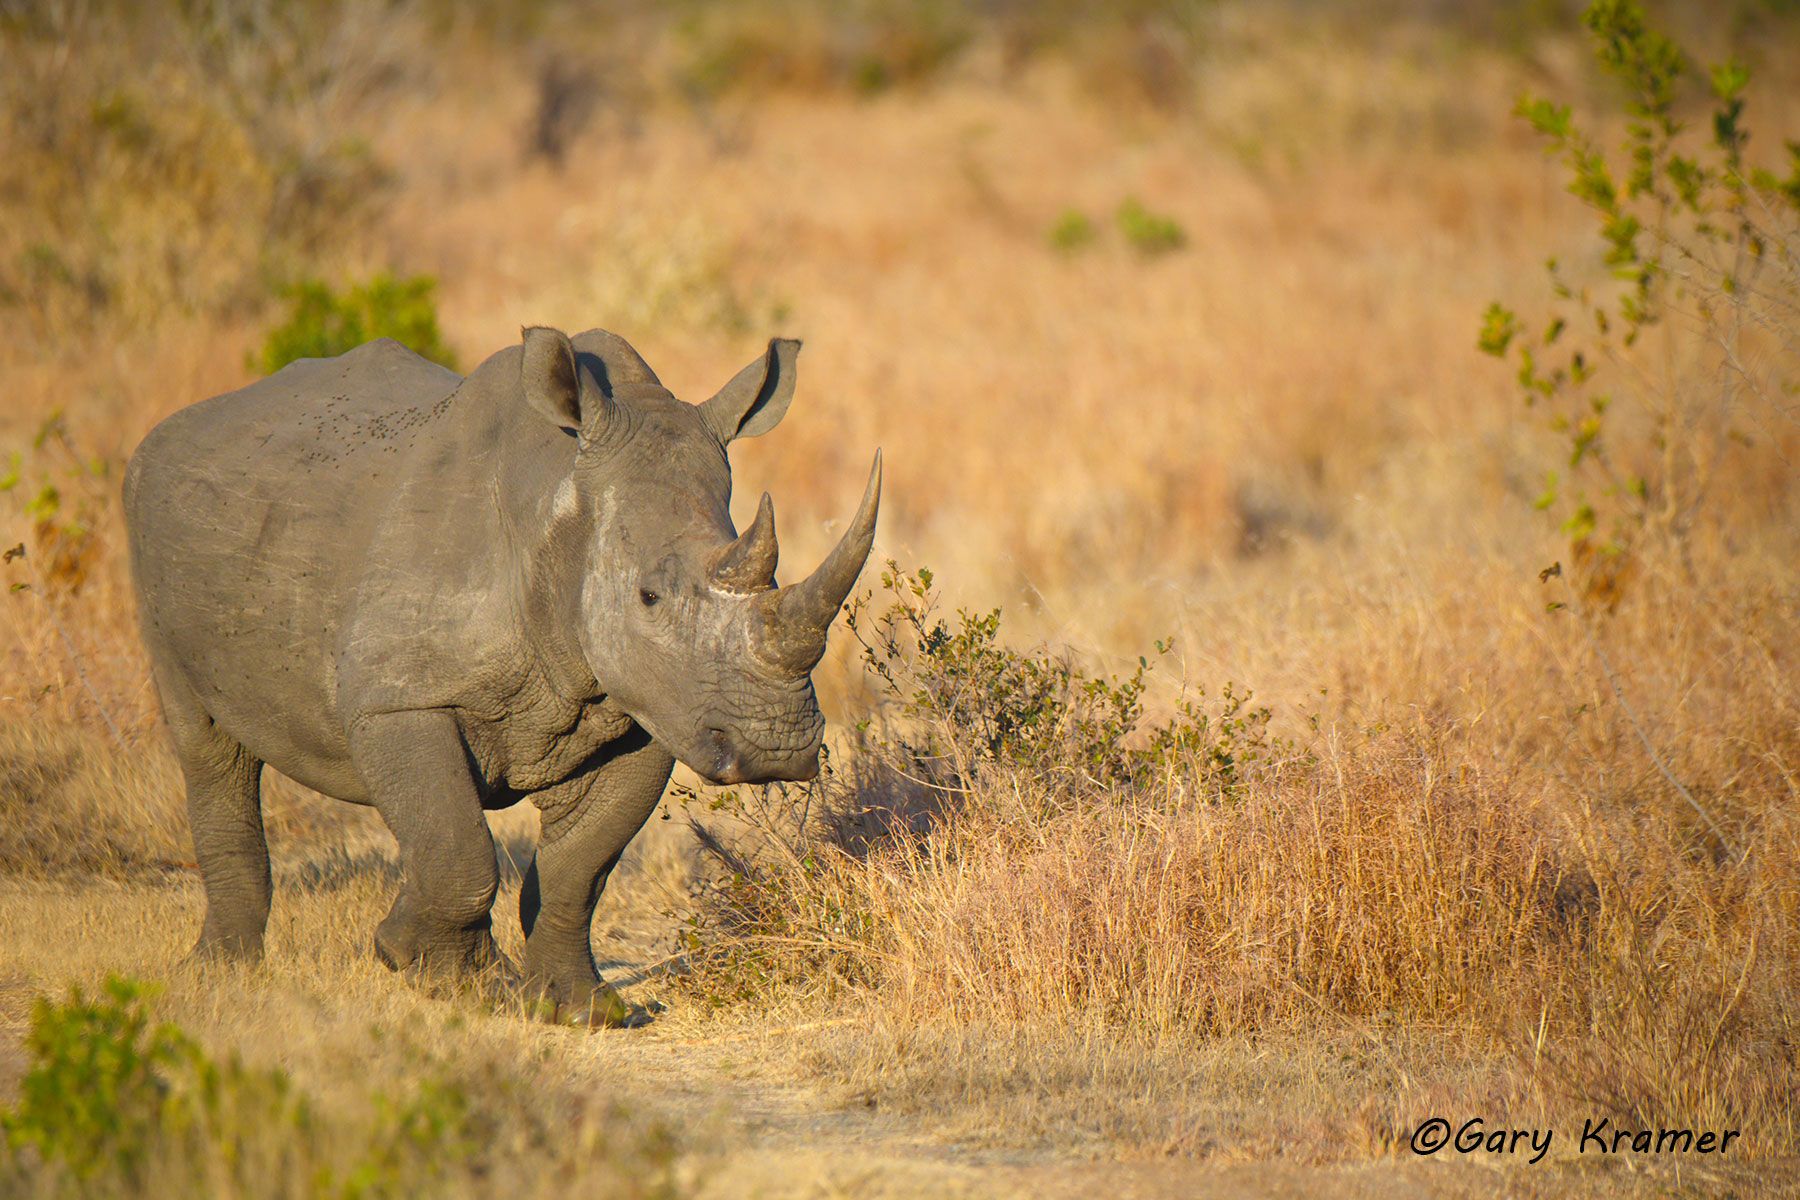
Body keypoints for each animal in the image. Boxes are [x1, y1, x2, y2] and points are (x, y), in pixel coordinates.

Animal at [123, 327, 879, 1025]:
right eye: (649, 597)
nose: (776, 748)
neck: (560, 509)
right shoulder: (399, 701)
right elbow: (459, 850)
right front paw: (451, 978)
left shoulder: (651, 717)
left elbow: (579, 868)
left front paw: (581, 1009)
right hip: (152, 519)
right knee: (208, 746)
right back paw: (222, 974)